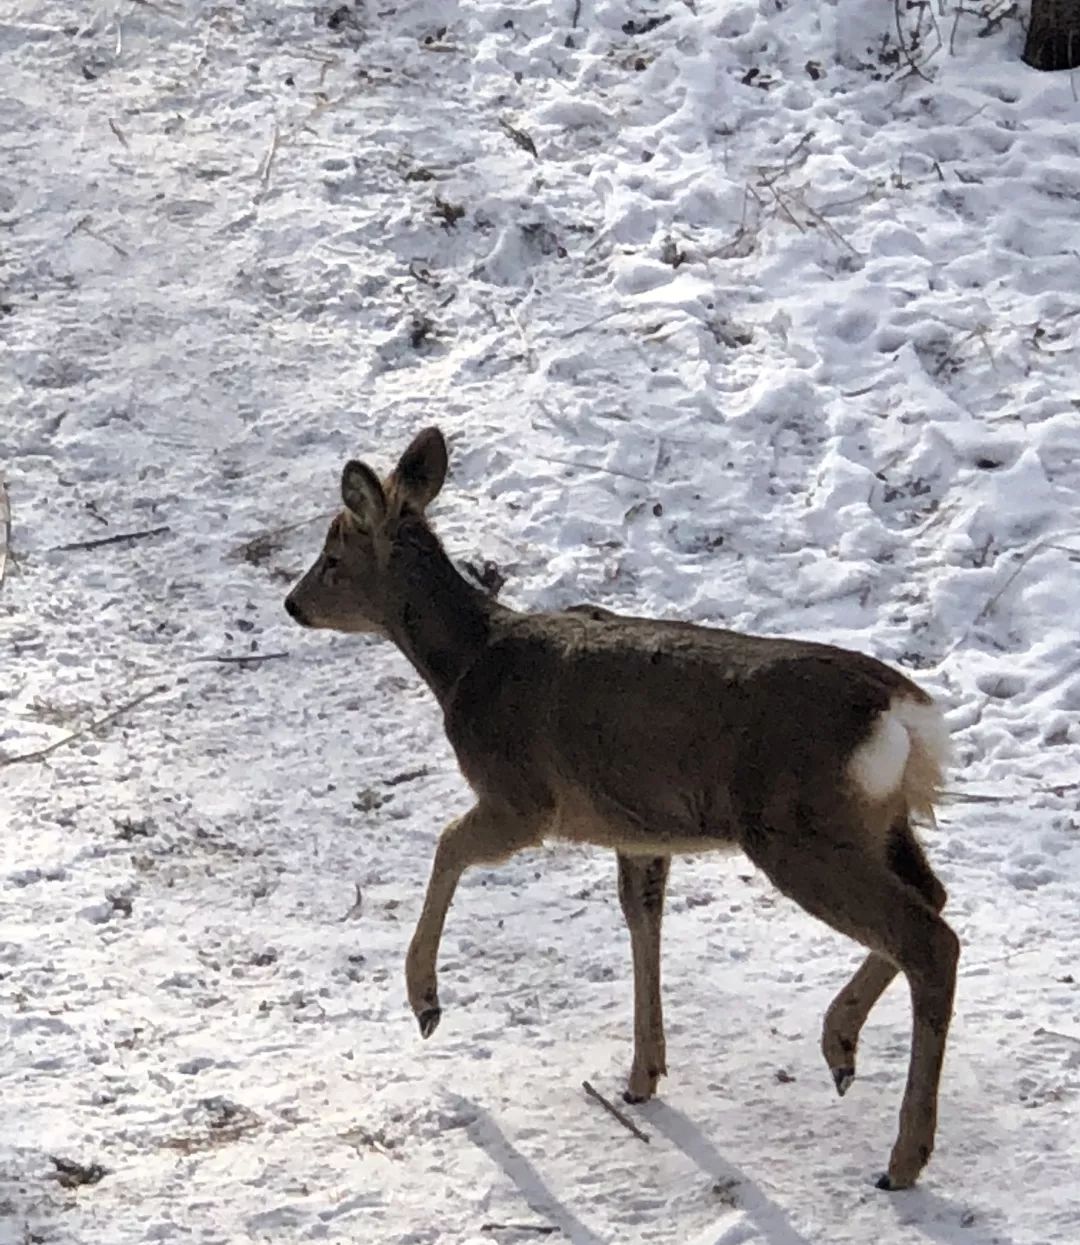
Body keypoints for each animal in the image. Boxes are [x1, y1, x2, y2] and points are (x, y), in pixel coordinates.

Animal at [282, 430, 956, 1195]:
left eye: (333, 556)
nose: (293, 602)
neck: (466, 665)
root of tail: (904, 716)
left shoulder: (524, 797)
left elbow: (447, 844)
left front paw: (425, 1000)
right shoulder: (637, 830)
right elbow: (642, 919)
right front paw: (642, 1073)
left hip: (796, 829)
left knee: (929, 937)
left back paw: (901, 1156)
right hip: (872, 825)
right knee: (933, 898)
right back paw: (840, 1047)